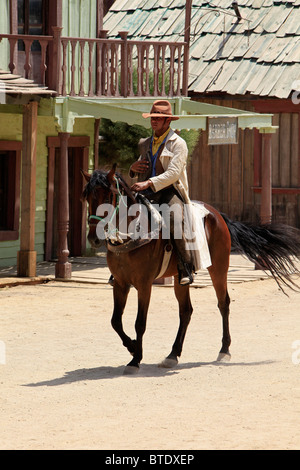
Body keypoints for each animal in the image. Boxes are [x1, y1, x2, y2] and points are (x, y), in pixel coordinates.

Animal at [81, 165, 300, 374]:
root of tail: (217, 215)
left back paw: (224, 351)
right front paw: (133, 347)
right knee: (186, 311)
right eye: (88, 197)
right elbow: (115, 321)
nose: (93, 238)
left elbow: (139, 323)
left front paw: (135, 359)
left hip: (218, 269)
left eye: (107, 196)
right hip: (181, 278)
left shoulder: (144, 285)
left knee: (223, 304)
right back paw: (173, 355)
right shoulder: (120, 283)